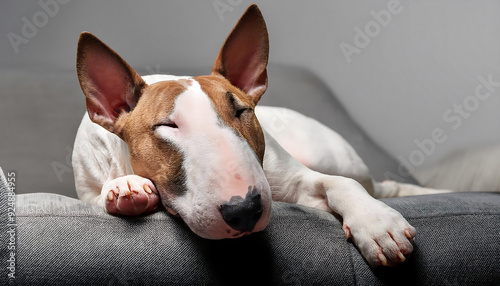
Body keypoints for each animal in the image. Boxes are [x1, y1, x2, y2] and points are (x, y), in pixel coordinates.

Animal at [72, 4, 448, 268]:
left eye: (241, 111)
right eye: (167, 126)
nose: (244, 210)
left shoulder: (293, 179)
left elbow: (338, 183)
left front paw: (377, 224)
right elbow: (98, 194)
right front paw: (126, 187)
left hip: (333, 154)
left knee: (374, 183)